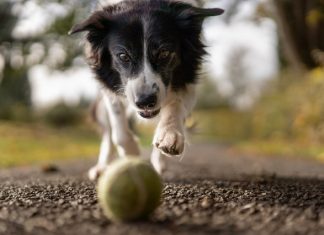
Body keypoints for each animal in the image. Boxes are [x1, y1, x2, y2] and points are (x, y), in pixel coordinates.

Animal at [69, 0, 224, 180]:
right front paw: (132, 154)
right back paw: (102, 167)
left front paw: (169, 134)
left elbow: (175, 105)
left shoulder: (188, 80)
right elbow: (119, 132)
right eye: (123, 56)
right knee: (108, 134)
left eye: (164, 53)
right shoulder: (109, 89)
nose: (145, 102)